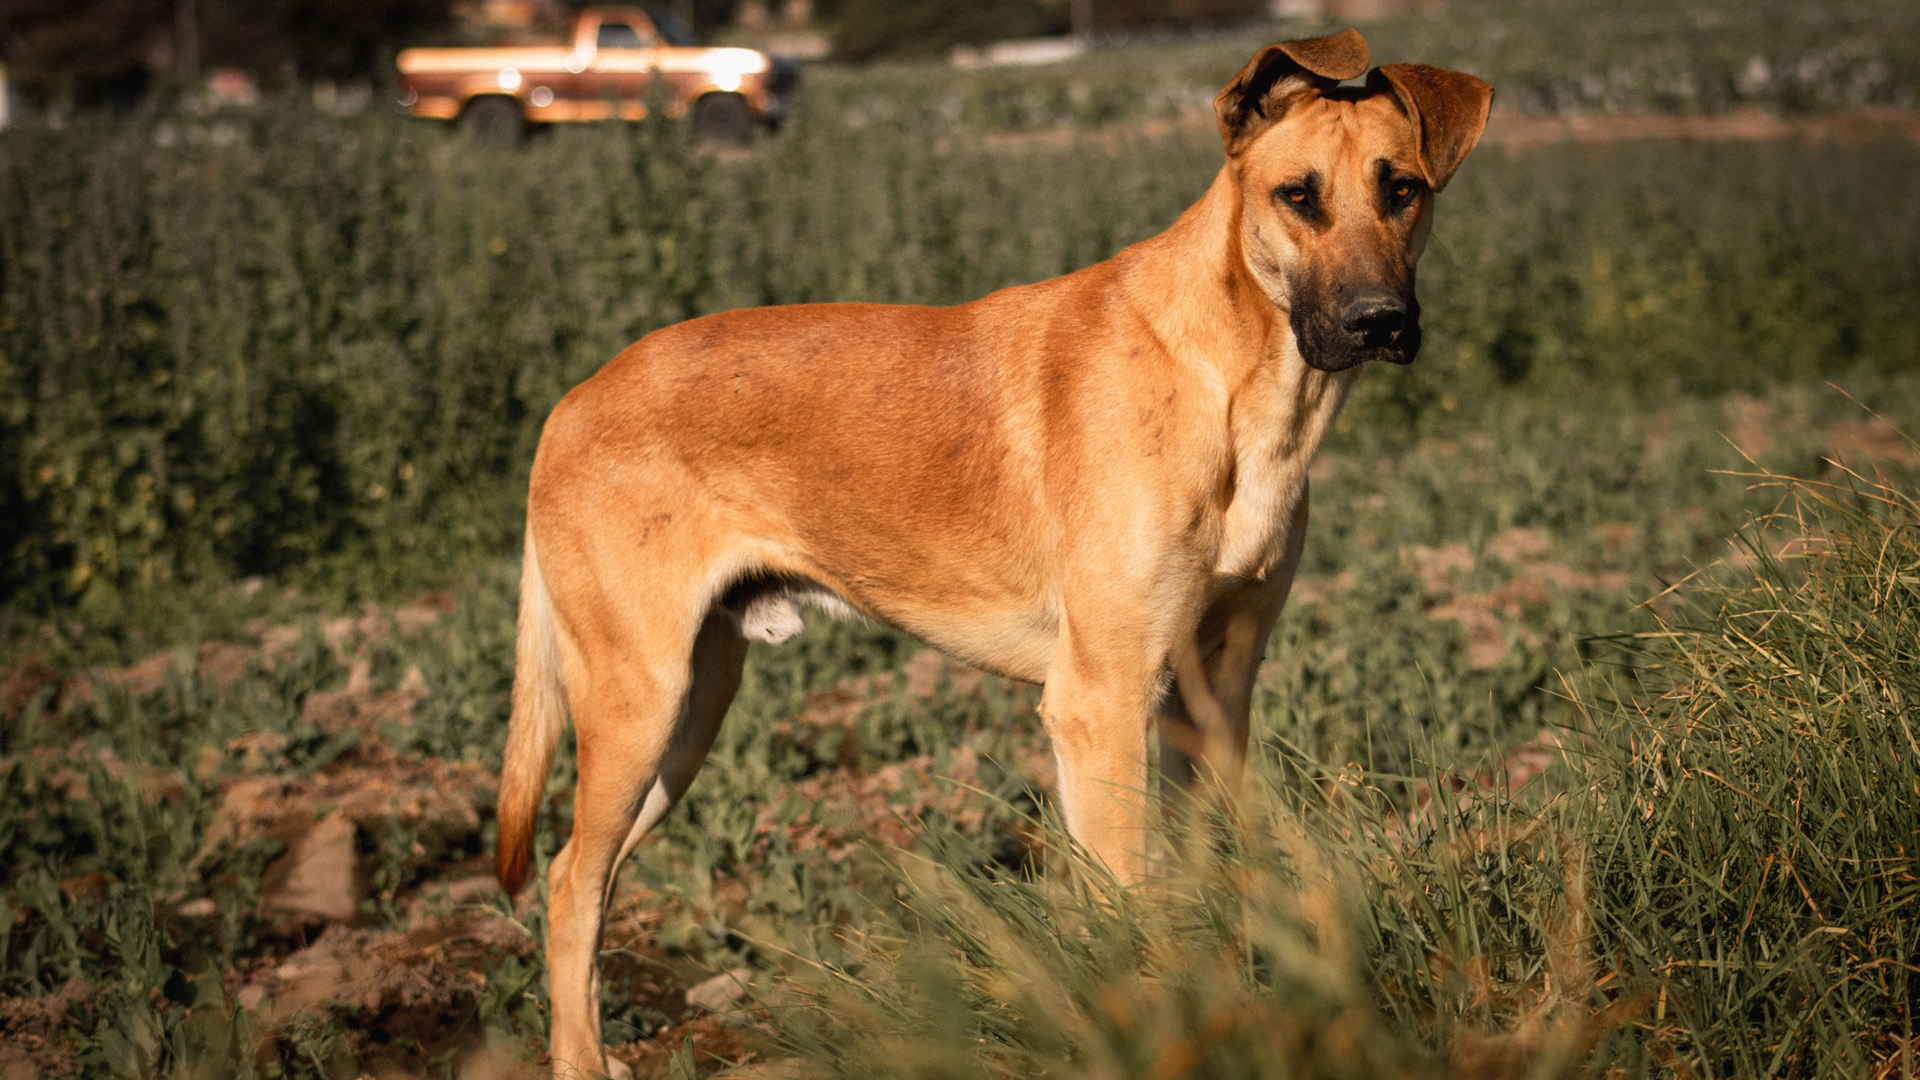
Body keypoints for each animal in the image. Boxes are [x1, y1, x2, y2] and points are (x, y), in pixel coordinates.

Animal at [491, 29, 1482, 1068]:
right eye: (1298, 196)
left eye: (1403, 189)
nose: (1379, 321)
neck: (1236, 381)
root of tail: (568, 405)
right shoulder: (1102, 701)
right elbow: (1131, 899)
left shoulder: (1215, 689)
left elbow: (1196, 876)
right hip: (637, 702)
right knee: (570, 881)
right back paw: (580, 1060)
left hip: (687, 717)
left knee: (583, 875)